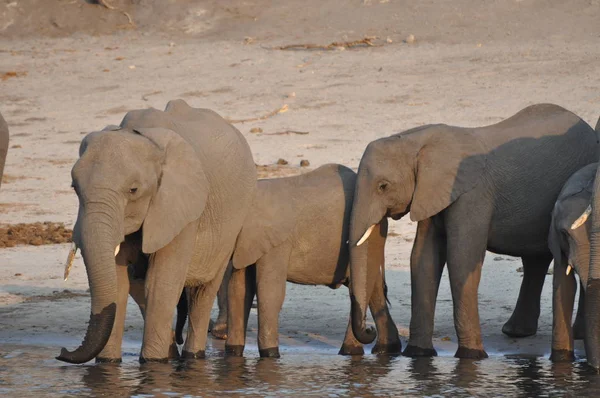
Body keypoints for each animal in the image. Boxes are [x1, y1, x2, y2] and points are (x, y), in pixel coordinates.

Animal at [53, 99, 255, 364]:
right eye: (74, 187)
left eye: (133, 190)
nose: (62, 352)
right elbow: (120, 284)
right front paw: (108, 364)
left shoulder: (180, 208)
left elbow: (160, 284)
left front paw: (153, 363)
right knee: (140, 288)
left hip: (232, 224)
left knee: (203, 290)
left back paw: (192, 356)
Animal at [218, 164, 400, 358]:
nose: (370, 329)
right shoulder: (247, 243)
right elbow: (238, 291)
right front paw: (233, 354)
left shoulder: (278, 243)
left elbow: (269, 292)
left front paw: (271, 356)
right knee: (370, 287)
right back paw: (372, 350)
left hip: (372, 236)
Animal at [346, 103, 600, 360]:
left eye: (383, 186)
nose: (369, 330)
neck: (416, 140)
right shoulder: (429, 193)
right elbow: (423, 259)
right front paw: (418, 354)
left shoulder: (472, 196)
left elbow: (461, 259)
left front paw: (471, 357)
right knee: (535, 260)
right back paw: (516, 332)